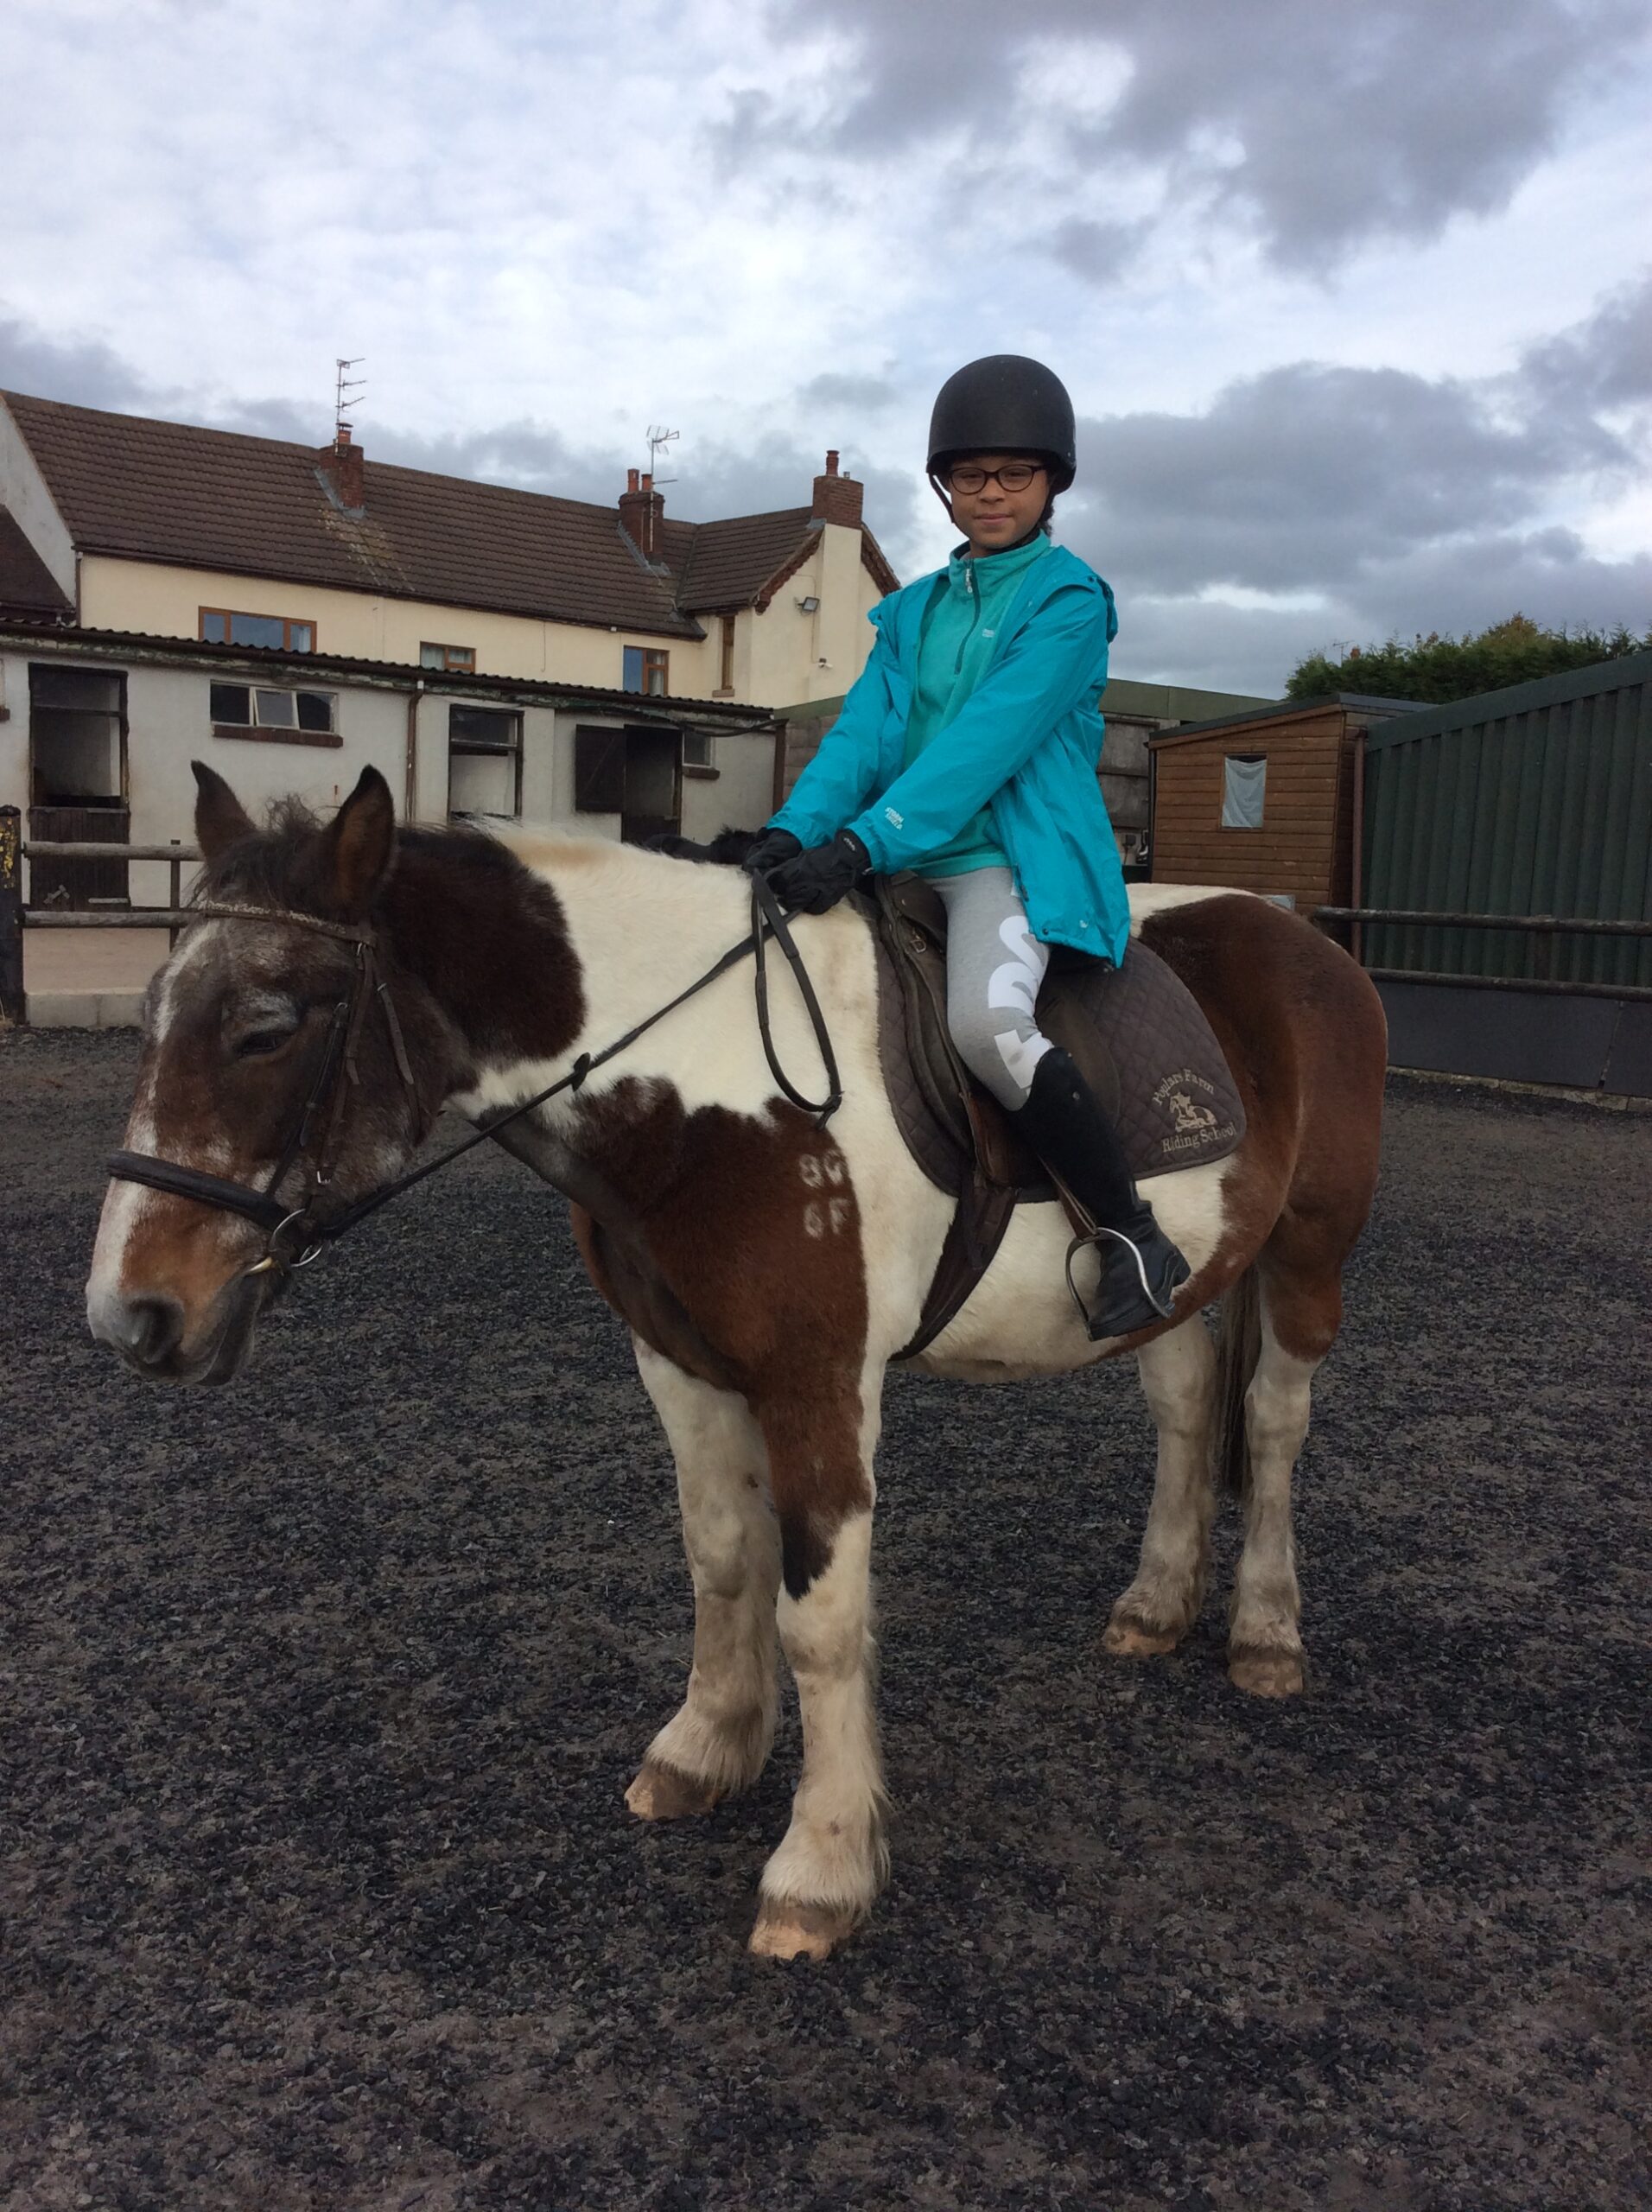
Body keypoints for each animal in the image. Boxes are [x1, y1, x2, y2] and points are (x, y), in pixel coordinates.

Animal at [84, 769, 1388, 1964]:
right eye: (150, 1012)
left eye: (265, 1028)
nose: (131, 1315)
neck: (705, 1082)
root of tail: (1302, 938)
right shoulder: (681, 1363)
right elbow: (719, 1559)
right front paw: (703, 1749)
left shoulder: (820, 1383)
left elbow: (820, 1616)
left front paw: (821, 1865)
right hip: (1179, 1282)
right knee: (1184, 1407)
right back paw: (1156, 1605)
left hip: (1308, 1254)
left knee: (1274, 1424)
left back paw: (1265, 1634)